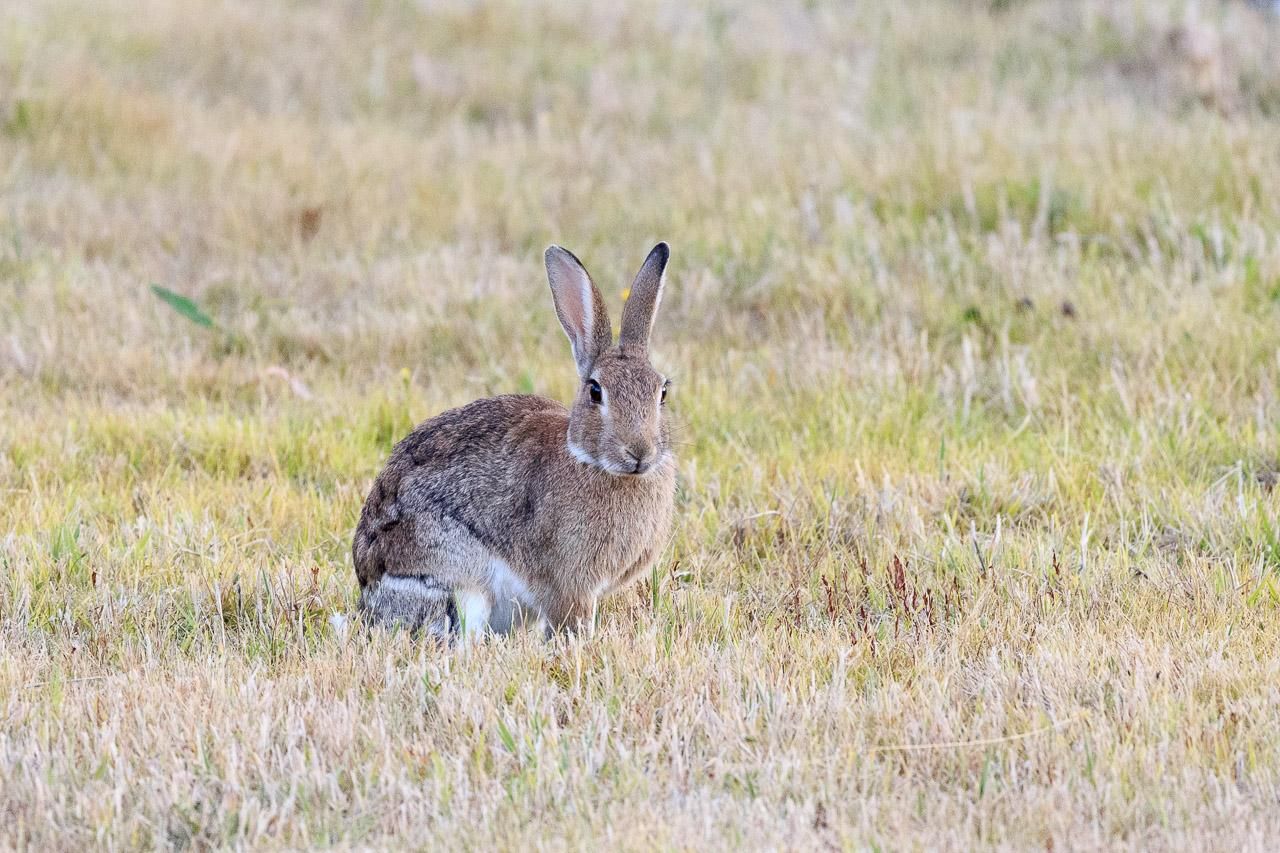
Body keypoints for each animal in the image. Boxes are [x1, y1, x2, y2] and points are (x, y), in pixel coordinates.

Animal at [351, 243, 677, 640]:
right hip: (458, 584)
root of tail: (369, 595)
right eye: (595, 391)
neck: (593, 462)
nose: (639, 452)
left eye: (662, 391)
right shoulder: (569, 585)